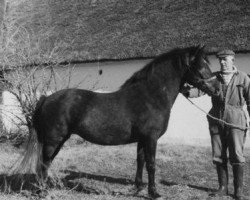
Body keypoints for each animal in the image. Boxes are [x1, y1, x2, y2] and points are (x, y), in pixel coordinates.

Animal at [15, 45, 219, 198]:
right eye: (200, 65)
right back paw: (42, 192)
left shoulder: (142, 140)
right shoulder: (151, 139)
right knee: (44, 163)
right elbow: (151, 164)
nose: (216, 89)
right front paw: (153, 193)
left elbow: (140, 161)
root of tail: (46, 98)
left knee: (46, 163)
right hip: (53, 140)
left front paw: (138, 188)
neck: (150, 95)